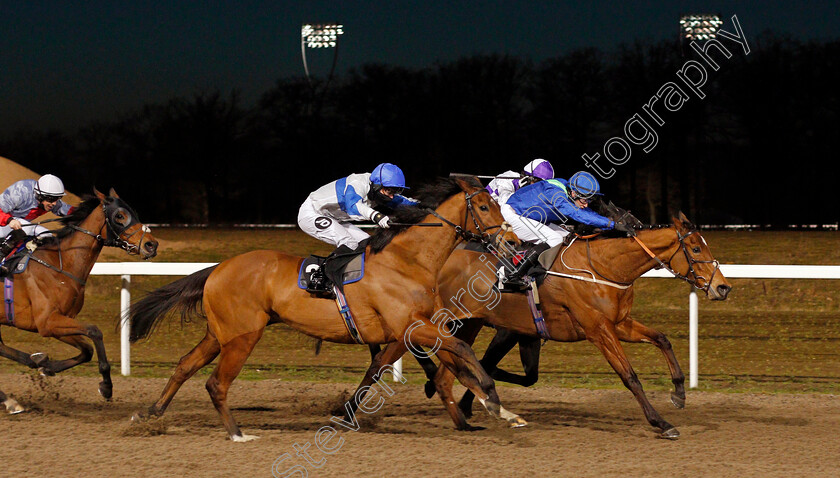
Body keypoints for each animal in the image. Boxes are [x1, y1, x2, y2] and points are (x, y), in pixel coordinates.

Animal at [0, 189, 159, 406]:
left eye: (133, 212)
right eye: (119, 216)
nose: (152, 245)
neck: (60, 265)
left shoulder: (61, 321)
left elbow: (87, 350)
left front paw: (47, 367)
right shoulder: (47, 322)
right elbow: (95, 331)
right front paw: (107, 386)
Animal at [125, 177, 520, 442]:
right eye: (484, 207)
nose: (513, 241)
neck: (407, 260)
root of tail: (218, 268)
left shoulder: (414, 329)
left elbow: (442, 364)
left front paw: (496, 411)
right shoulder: (412, 327)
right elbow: (463, 349)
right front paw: (493, 400)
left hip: (218, 333)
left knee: (185, 366)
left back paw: (150, 414)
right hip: (242, 337)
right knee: (216, 383)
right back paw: (237, 433)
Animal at [348, 215, 728, 438]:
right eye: (696, 248)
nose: (723, 288)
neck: (603, 267)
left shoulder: (619, 323)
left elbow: (662, 339)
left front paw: (678, 393)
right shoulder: (598, 329)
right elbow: (629, 376)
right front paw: (661, 423)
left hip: (469, 322)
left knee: (443, 374)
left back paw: (465, 418)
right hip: (429, 320)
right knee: (388, 357)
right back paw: (352, 408)